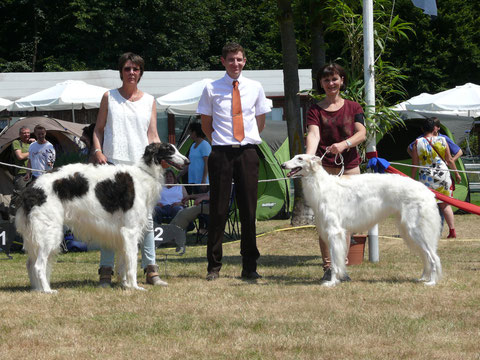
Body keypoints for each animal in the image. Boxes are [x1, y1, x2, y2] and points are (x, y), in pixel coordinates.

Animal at [15, 142, 188, 292]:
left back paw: (37, 290)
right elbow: (131, 264)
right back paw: (47, 290)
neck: (144, 174)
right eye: (169, 150)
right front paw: (135, 287)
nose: (187, 161)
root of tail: (31, 188)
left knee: (30, 263)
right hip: (50, 232)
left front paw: (125, 285)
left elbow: (123, 265)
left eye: (175, 149)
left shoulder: (121, 235)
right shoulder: (130, 232)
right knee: (38, 265)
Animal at [282, 154, 442, 286]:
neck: (322, 186)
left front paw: (332, 282)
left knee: (434, 257)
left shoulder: (334, 232)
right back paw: (423, 278)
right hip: (408, 231)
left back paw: (432, 282)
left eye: (300, 158)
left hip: (416, 230)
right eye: (294, 157)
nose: (283, 165)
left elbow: (335, 263)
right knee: (426, 257)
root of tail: (428, 192)